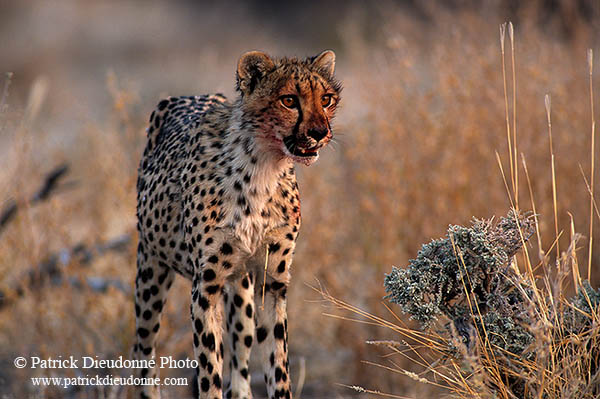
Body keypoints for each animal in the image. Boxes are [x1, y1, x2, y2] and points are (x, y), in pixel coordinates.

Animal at [135, 50, 342, 399]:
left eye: (326, 99)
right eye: (289, 100)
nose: (319, 132)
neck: (264, 167)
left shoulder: (273, 282)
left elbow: (277, 364)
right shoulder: (206, 285)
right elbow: (209, 372)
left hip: (242, 289)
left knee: (241, 360)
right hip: (150, 271)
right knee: (143, 354)